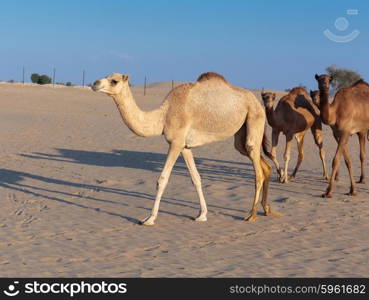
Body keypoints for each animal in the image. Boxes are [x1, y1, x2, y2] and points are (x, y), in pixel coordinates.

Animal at [92, 71, 278, 224]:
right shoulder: (184, 146)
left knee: (258, 172)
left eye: (114, 80)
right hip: (241, 134)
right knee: (264, 166)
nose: (95, 83)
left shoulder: (175, 143)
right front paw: (202, 215)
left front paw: (149, 218)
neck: (163, 116)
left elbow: (162, 179)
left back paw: (251, 215)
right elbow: (196, 178)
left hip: (254, 118)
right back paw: (267, 209)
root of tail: (257, 102)